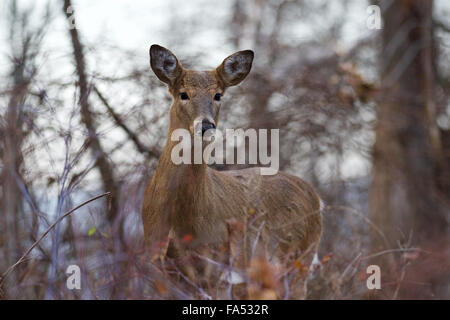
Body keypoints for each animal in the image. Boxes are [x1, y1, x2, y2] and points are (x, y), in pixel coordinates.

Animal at [142, 43, 322, 298]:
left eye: (218, 95)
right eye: (183, 94)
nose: (206, 125)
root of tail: (316, 197)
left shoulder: (218, 267)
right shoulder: (156, 263)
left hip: (298, 261)